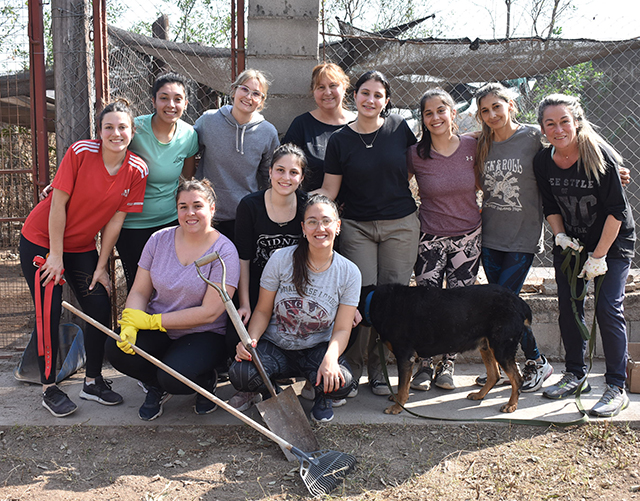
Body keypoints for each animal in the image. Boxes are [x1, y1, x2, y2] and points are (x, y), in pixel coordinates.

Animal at [360, 284, 528, 412]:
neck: (374, 301)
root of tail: (520, 302)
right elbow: (404, 384)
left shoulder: (405, 356)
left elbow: (402, 386)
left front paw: (397, 407)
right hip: (486, 346)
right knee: (494, 375)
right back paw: (479, 395)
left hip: (501, 349)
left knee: (517, 379)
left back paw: (511, 405)